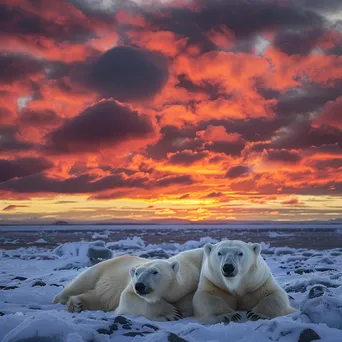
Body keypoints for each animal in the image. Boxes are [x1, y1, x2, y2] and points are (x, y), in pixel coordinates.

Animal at [52, 247, 204, 322]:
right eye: (137, 272)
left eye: (155, 272)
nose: (140, 285)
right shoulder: (130, 286)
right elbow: (128, 298)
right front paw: (171, 313)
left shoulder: (190, 283)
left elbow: (188, 301)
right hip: (102, 269)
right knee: (80, 283)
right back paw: (67, 302)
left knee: (98, 297)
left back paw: (78, 304)